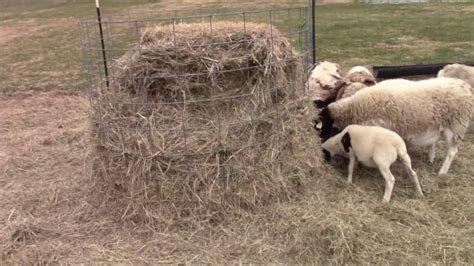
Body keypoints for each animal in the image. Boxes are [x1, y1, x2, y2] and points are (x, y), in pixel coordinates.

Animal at [314, 77, 474, 176]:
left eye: (320, 127)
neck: (354, 107)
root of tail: (466, 86)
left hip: (456, 126)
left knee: (452, 152)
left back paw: (442, 171)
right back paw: (431, 159)